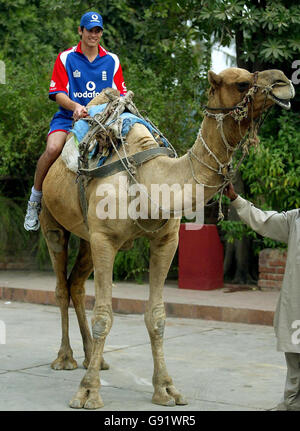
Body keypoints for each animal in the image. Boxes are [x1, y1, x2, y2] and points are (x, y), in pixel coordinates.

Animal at [39, 66, 292, 408]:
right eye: (241, 83)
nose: (284, 82)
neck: (149, 176)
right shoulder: (105, 238)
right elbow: (104, 314)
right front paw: (88, 392)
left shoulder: (165, 240)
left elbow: (157, 316)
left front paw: (167, 389)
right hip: (53, 223)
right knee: (61, 287)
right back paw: (65, 358)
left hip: (87, 237)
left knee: (76, 284)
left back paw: (95, 357)